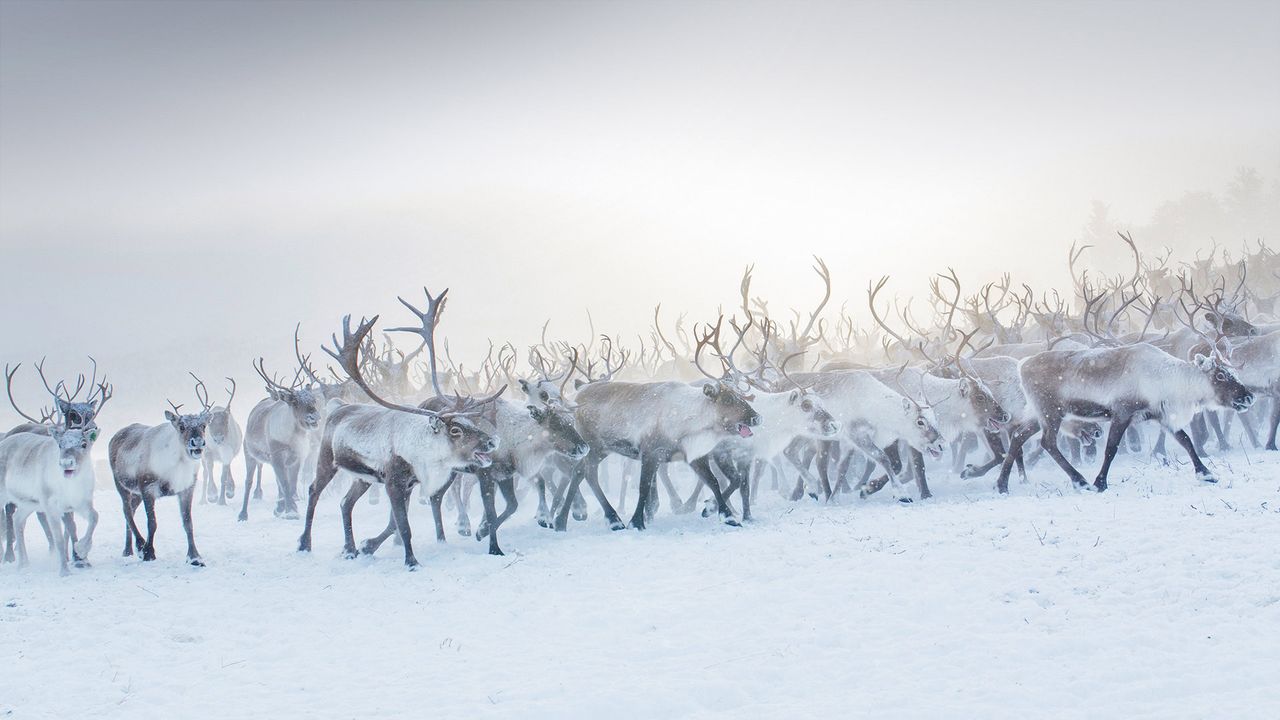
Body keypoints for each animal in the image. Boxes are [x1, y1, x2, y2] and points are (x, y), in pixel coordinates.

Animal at [109, 375, 214, 565]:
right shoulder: (147, 487)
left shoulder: (187, 488)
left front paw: (195, 557)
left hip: (136, 493)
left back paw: (128, 550)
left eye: (203, 425)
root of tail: (115, 436)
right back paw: (139, 545)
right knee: (126, 511)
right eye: (181, 426)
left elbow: (188, 523)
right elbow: (152, 523)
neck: (176, 467)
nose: (197, 442)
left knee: (131, 511)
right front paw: (148, 552)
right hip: (121, 483)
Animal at [297, 314, 499, 569]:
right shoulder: (394, 482)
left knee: (345, 503)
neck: (423, 454)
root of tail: (337, 407)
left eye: (469, 421)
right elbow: (403, 526)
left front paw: (367, 546)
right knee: (314, 490)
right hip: (327, 460)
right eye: (455, 429)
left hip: (363, 478)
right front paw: (411, 562)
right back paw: (304, 543)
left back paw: (350, 549)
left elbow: (395, 523)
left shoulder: (409, 485)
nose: (491, 441)